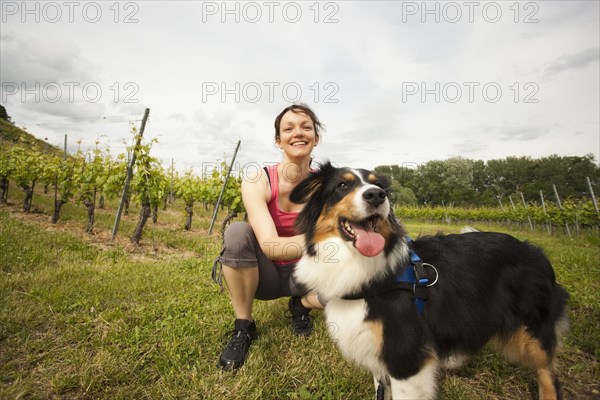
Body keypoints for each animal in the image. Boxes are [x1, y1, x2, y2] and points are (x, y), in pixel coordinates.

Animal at [290, 162, 568, 400]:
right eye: (342, 186)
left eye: (377, 185)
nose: (377, 196)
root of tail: (534, 250)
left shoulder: (406, 356)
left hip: (533, 327)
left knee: (549, 375)